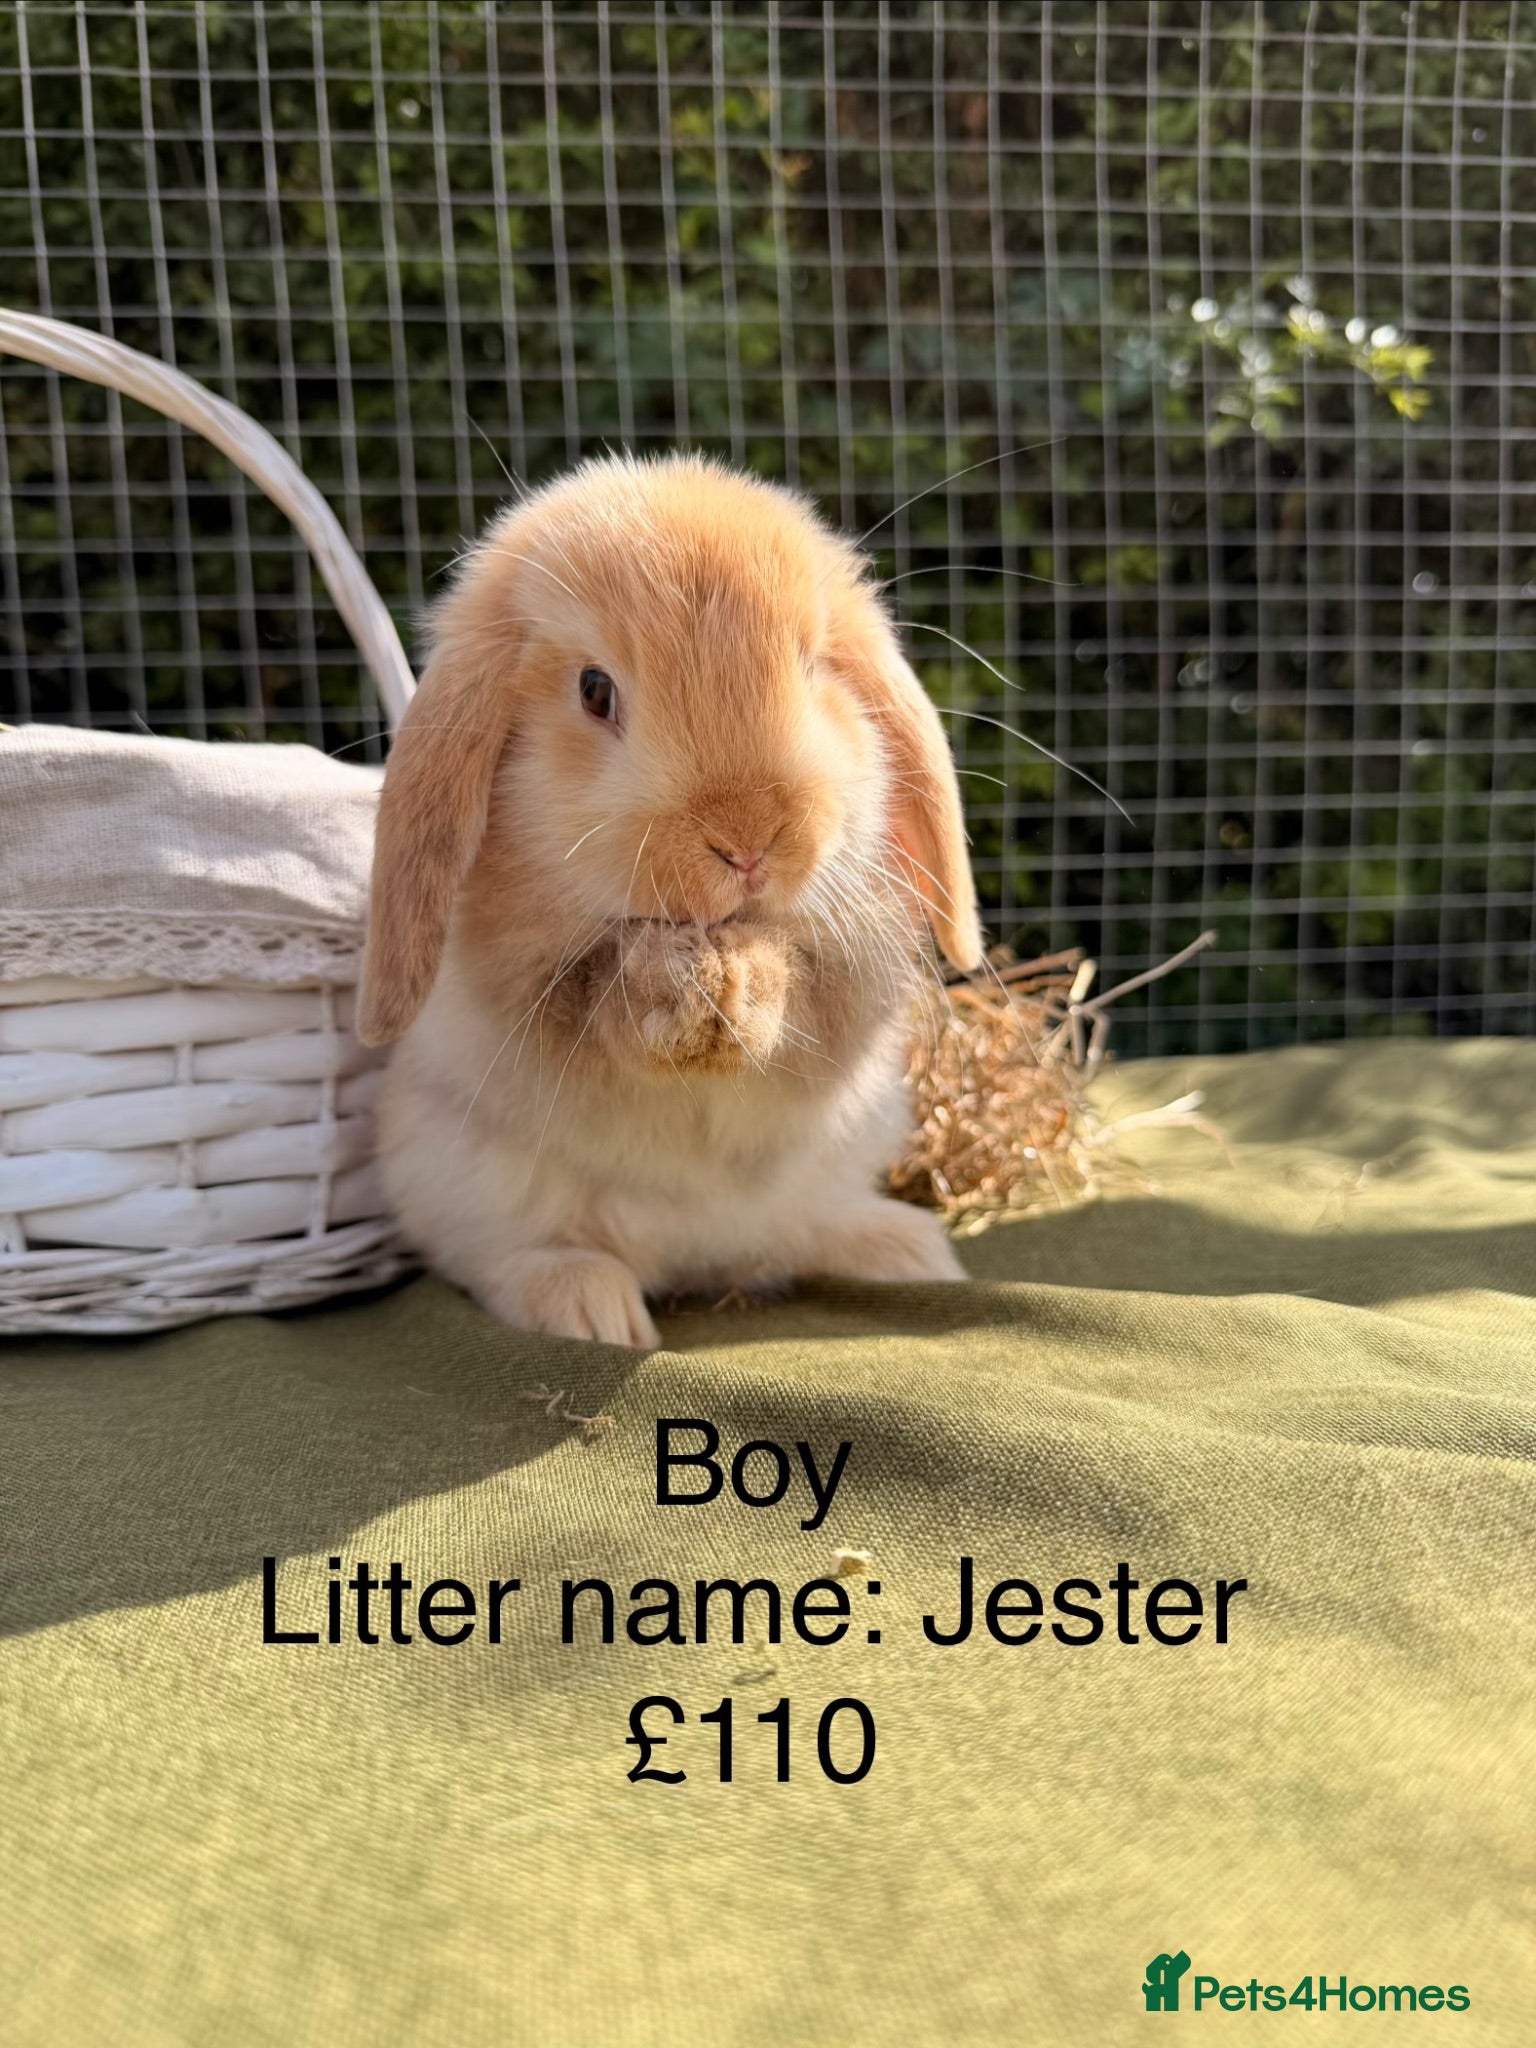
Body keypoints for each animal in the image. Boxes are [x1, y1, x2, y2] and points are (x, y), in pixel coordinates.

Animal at [357, 453, 983, 1347]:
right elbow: (598, 1009)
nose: (748, 838)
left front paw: (743, 990)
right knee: (504, 1256)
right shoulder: (530, 989)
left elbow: (803, 993)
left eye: (814, 667)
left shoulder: (847, 977)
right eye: (595, 690)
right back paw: (589, 1308)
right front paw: (684, 992)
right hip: (459, 1178)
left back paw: (902, 1251)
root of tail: (704, 1264)